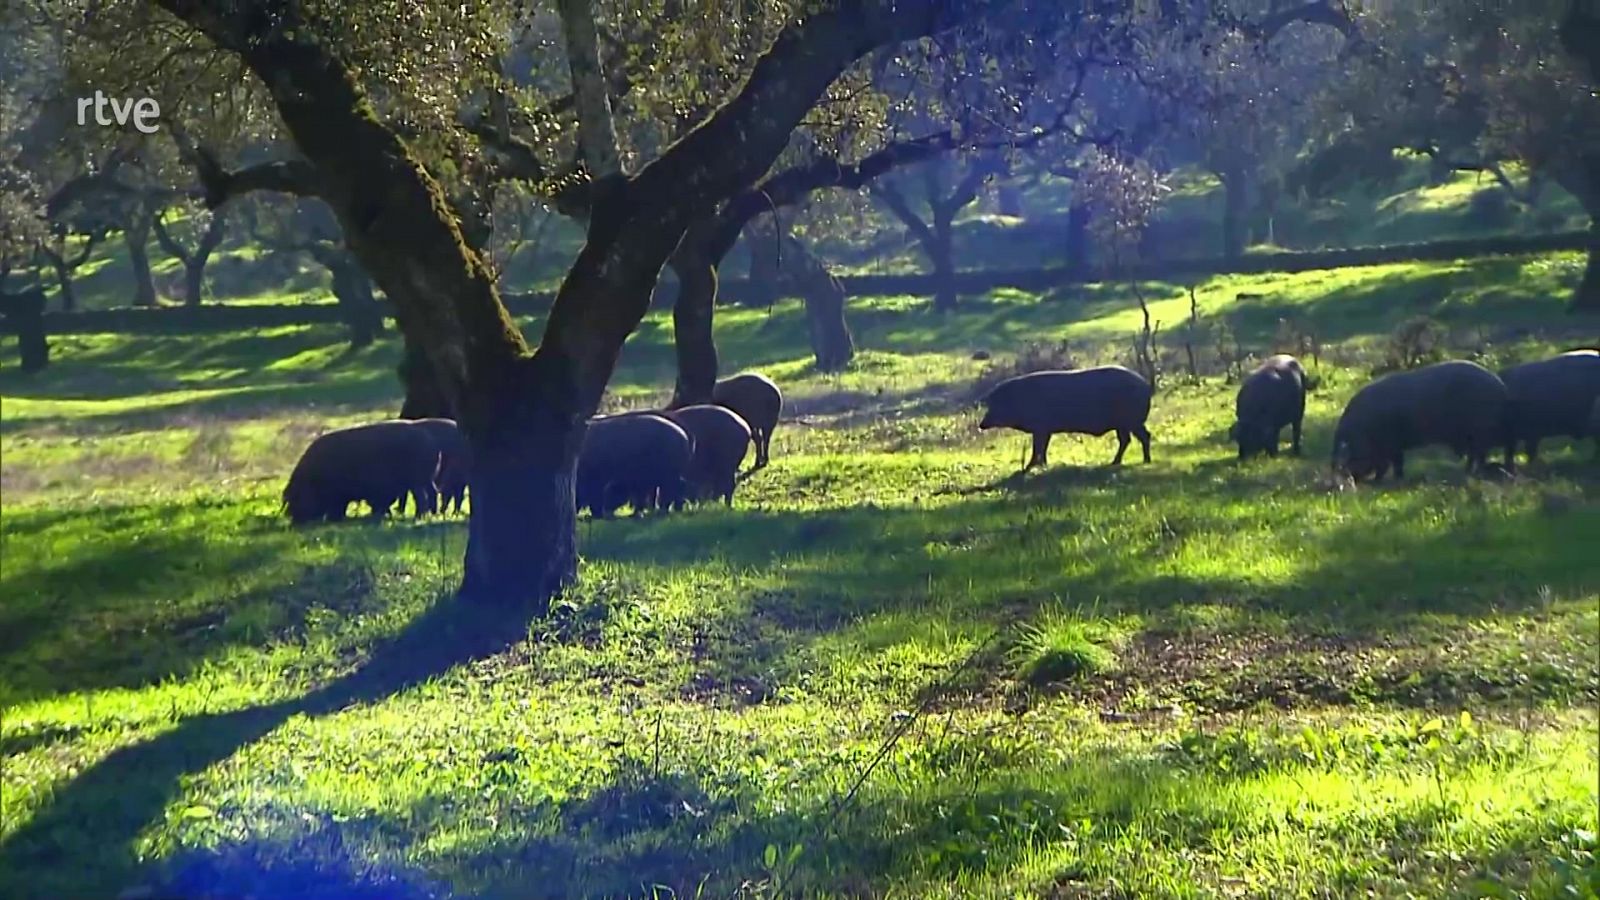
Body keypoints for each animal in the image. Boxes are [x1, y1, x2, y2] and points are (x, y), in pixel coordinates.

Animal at [284, 422, 441, 525]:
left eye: (296, 498)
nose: (293, 520)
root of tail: (430, 441)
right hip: (426, 479)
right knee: (432, 493)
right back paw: (432, 515)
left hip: (417, 480)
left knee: (422, 497)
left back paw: (419, 518)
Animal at [972, 361, 1152, 470]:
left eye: (997, 404)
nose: (981, 424)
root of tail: (1145, 385)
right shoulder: (1046, 430)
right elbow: (1043, 448)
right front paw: (1043, 466)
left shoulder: (1040, 428)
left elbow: (1037, 448)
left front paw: (1029, 468)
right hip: (1126, 423)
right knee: (1130, 439)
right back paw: (1123, 462)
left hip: (1131, 420)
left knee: (1140, 437)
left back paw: (1138, 461)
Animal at [1331, 358, 1504, 480]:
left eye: (1349, 456)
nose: (1352, 478)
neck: (1363, 431)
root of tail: (1500, 386)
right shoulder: (1393, 445)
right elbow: (1396, 462)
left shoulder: (1389, 444)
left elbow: (1390, 463)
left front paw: (1383, 480)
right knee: (1477, 454)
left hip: (1479, 430)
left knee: (1479, 454)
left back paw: (1473, 472)